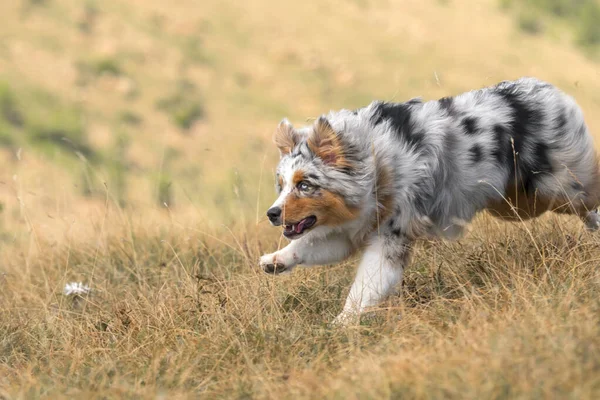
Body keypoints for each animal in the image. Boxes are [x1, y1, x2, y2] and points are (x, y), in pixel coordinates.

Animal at [258, 78, 600, 324]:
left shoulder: (391, 237)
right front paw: (276, 260)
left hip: (558, 187)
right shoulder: (351, 228)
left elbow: (366, 285)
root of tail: (550, 91)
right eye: (281, 185)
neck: (374, 164)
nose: (272, 214)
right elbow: (310, 245)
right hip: (515, 204)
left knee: (587, 200)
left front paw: (341, 323)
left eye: (304, 185)